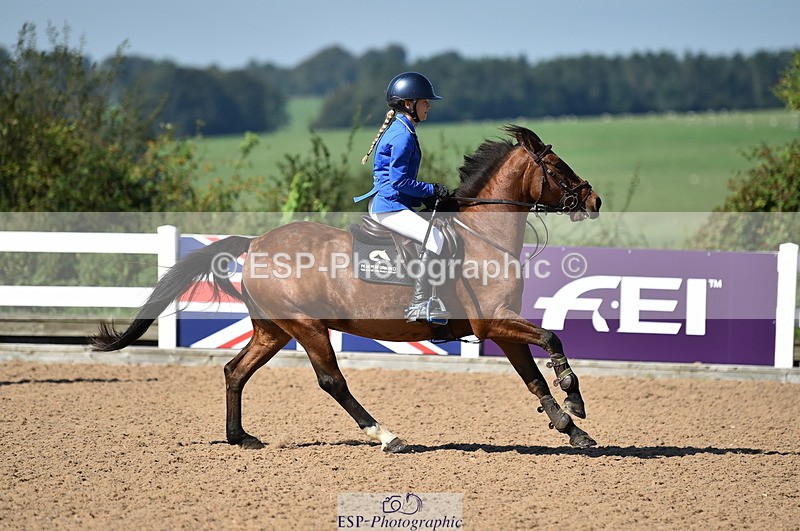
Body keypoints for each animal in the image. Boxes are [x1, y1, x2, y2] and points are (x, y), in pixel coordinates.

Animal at [92, 125, 602, 452]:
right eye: (557, 166)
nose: (594, 200)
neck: (484, 236)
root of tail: (256, 242)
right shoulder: (493, 322)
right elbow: (553, 338)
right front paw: (574, 399)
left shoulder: (501, 327)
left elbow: (532, 377)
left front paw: (571, 428)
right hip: (307, 327)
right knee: (332, 381)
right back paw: (386, 436)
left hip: (272, 329)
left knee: (236, 371)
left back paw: (241, 438)